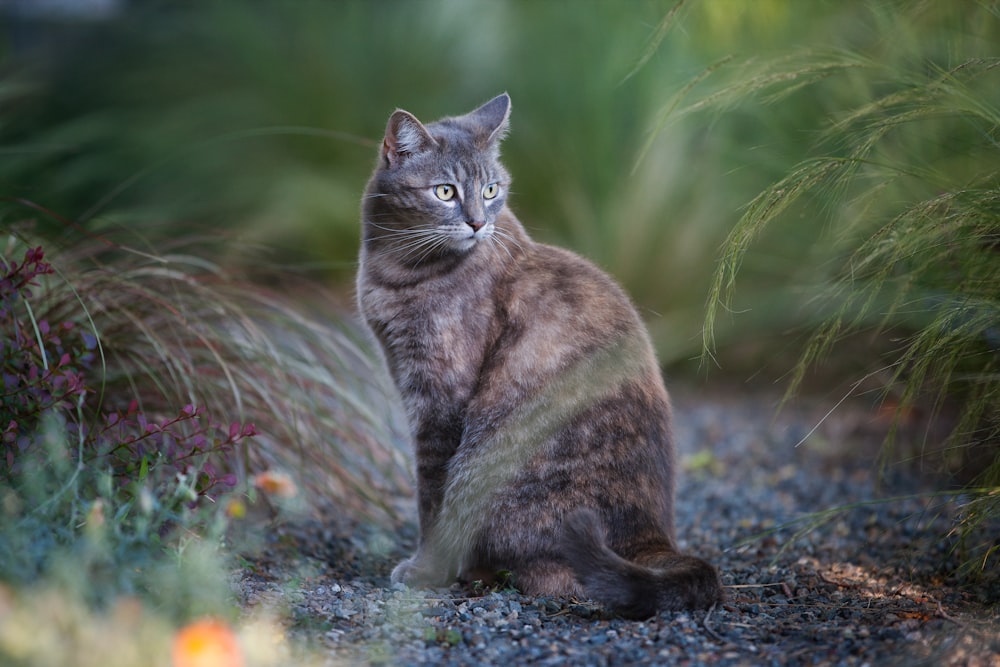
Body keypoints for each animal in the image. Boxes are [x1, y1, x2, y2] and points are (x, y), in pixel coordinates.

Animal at [356, 91, 724, 620]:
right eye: (445, 192)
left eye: (491, 189)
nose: (477, 221)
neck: (397, 266)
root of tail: (652, 539)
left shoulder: (440, 401)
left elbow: (431, 499)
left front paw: (425, 571)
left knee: (553, 575)